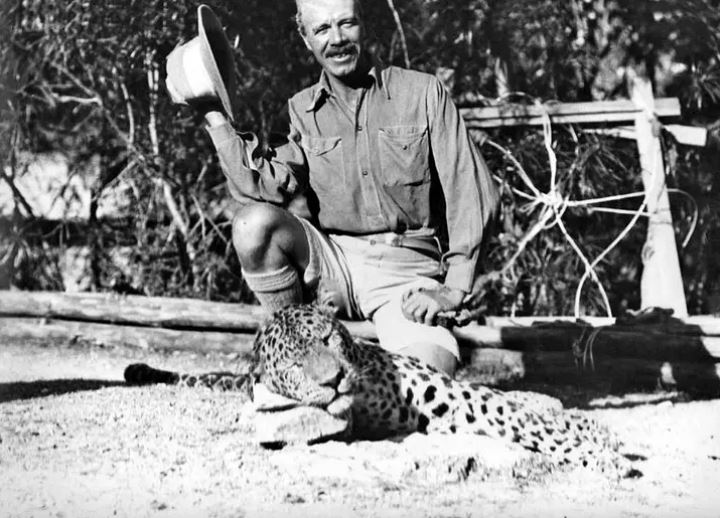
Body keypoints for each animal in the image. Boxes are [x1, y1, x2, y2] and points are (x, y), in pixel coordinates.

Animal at [124, 302, 620, 470]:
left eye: (326, 338)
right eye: (296, 366)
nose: (333, 379)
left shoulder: (450, 395)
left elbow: (524, 419)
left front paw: (602, 447)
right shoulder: (437, 419)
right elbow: (515, 422)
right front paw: (603, 454)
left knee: (526, 402)